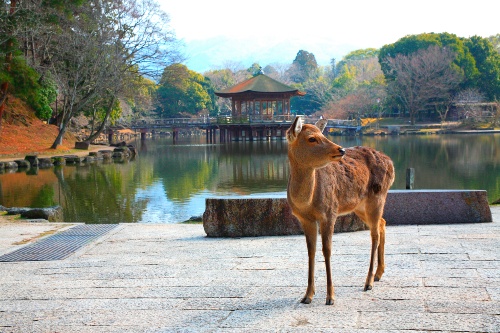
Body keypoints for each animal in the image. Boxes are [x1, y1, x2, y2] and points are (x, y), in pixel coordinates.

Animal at [286, 116, 394, 304]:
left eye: (322, 134)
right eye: (311, 138)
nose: (341, 149)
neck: (307, 202)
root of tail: (391, 162)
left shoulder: (329, 213)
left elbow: (327, 250)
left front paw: (330, 297)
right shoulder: (305, 219)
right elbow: (311, 251)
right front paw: (307, 296)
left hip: (378, 196)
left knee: (374, 234)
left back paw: (368, 282)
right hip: (359, 206)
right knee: (382, 222)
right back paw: (379, 273)